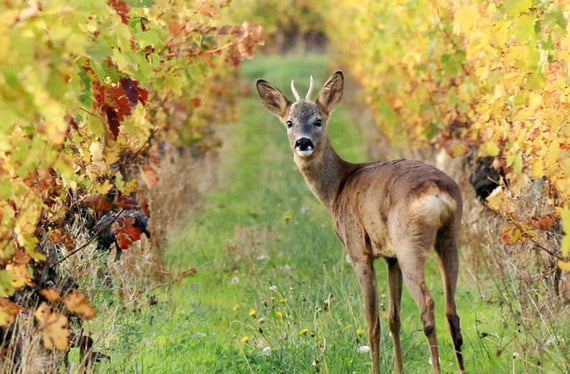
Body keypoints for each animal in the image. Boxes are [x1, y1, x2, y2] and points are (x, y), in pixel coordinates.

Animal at [256, 71, 462, 374]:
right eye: (289, 122)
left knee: (428, 304)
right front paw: (398, 370)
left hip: (410, 243)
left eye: (318, 120)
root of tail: (436, 190)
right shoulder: (390, 256)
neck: (338, 188)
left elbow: (373, 323)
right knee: (451, 309)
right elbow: (393, 318)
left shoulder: (358, 249)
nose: (303, 143)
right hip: (450, 237)